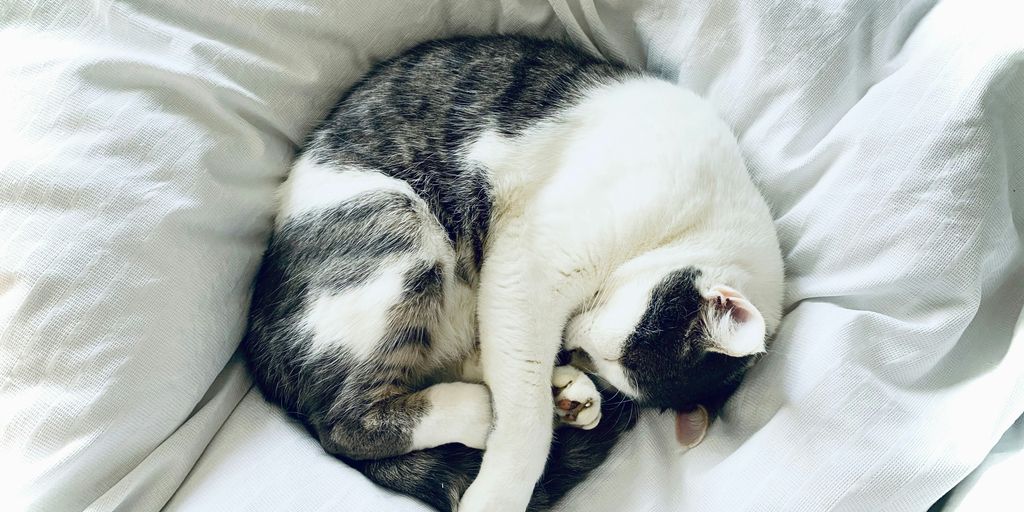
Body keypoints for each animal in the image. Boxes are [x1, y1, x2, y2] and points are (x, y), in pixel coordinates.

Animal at [241, 34, 782, 509]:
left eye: (605, 362)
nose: (575, 348)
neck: (696, 221)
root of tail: (257, 338)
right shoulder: (531, 261)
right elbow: (523, 410)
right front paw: (500, 492)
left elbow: (513, 359)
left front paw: (562, 383)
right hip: (398, 230)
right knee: (344, 423)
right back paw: (484, 410)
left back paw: (562, 395)